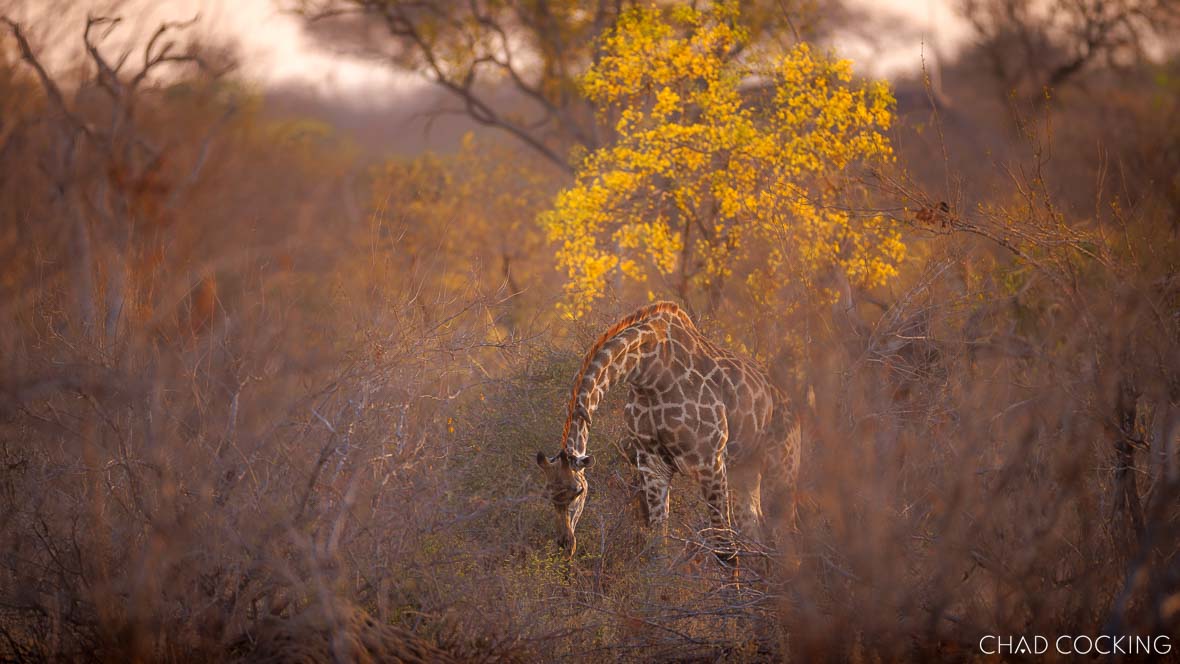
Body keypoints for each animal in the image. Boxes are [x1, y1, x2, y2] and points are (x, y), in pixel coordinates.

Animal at [536, 301, 801, 563]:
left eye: (578, 491)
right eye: (548, 496)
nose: (565, 545)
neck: (648, 372)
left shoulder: (710, 462)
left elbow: (725, 551)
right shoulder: (653, 465)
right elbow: (657, 548)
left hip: (781, 467)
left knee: (785, 535)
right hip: (745, 471)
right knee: (755, 532)